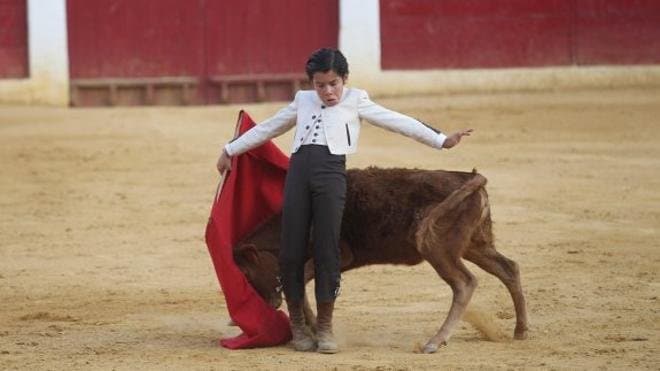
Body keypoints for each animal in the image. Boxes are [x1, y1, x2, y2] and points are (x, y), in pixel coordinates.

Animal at [235, 167, 528, 354]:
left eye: (247, 274)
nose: (269, 303)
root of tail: (470, 178)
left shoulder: (338, 254)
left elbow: (303, 278)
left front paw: (316, 330)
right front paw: (313, 329)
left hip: (439, 248)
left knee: (464, 283)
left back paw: (434, 342)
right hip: (473, 246)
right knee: (508, 268)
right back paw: (521, 330)